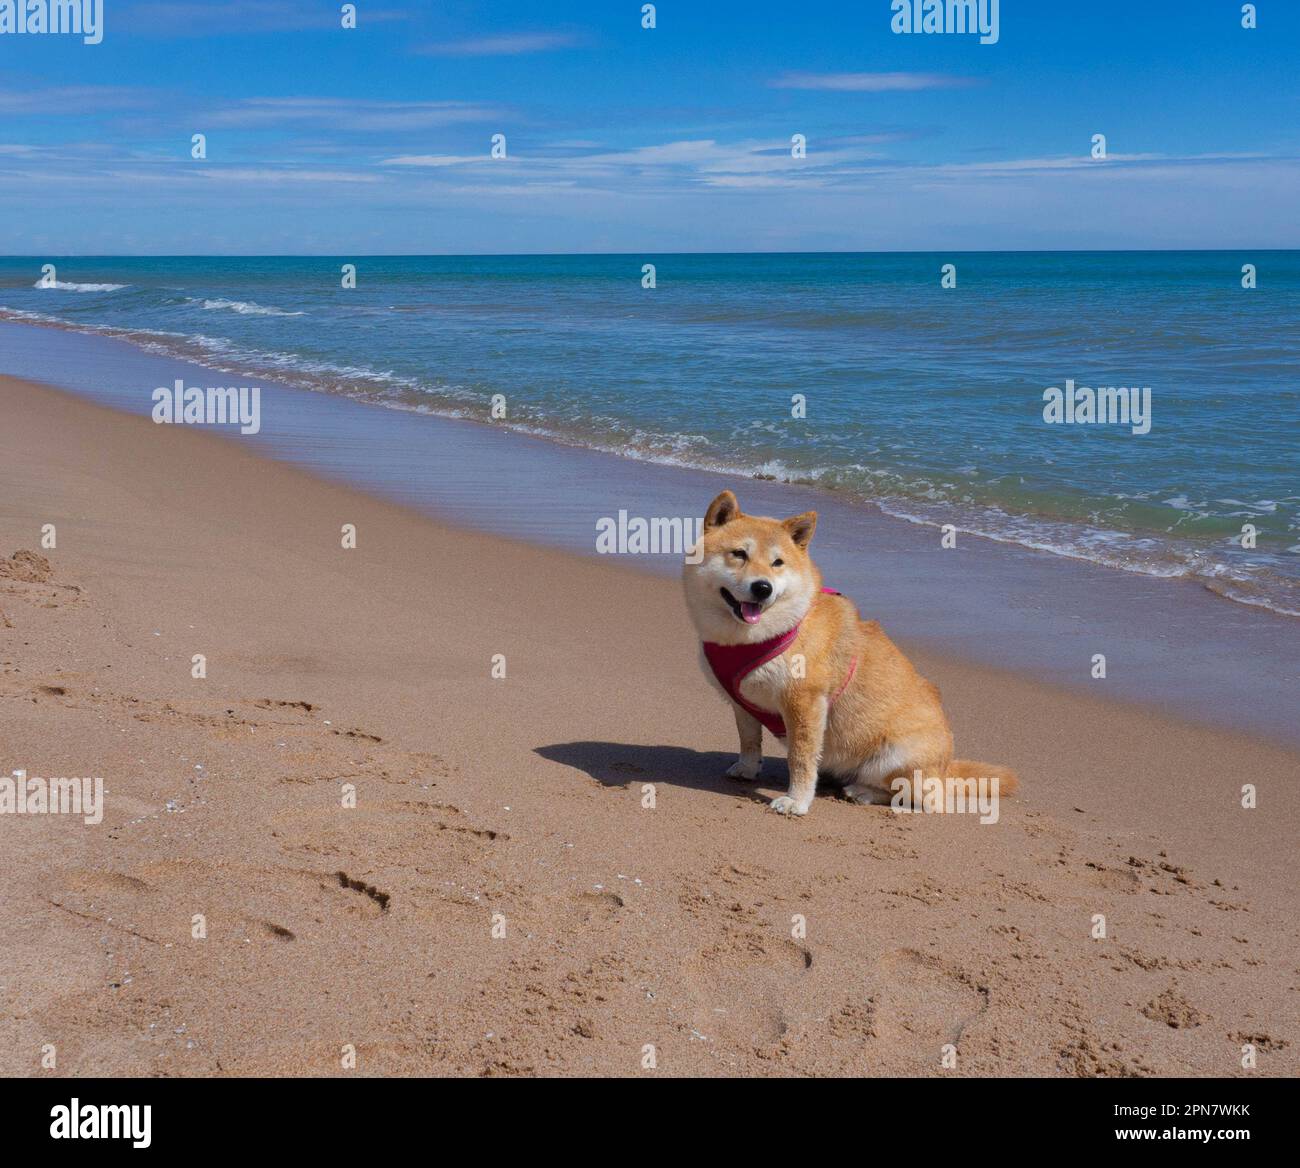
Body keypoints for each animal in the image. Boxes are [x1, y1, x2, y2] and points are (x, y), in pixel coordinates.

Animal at [681, 486, 1013, 816]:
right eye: (739, 554)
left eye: (778, 563)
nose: (763, 588)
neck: (753, 638)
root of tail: (945, 769)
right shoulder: (742, 701)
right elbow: (749, 739)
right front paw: (748, 768)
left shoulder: (804, 703)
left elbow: (800, 758)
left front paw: (797, 800)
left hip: (897, 754)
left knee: (924, 800)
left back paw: (865, 792)